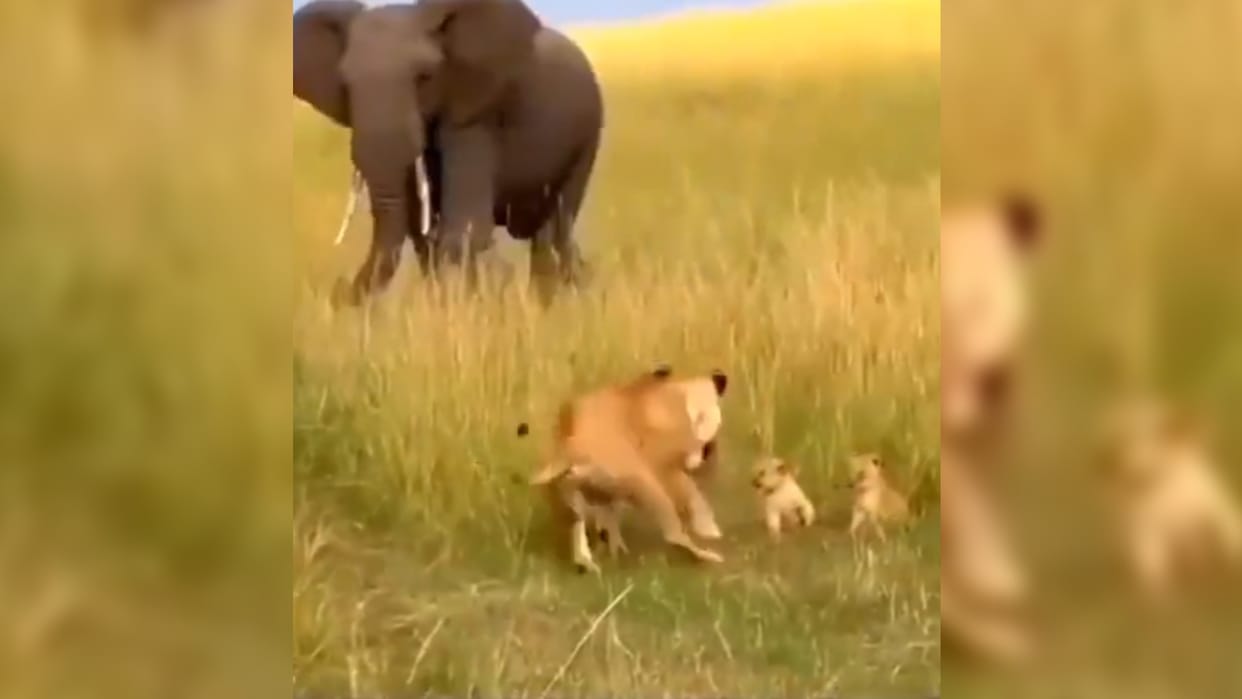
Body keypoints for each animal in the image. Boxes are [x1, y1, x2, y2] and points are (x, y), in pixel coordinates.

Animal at [293, 0, 603, 306]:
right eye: (345, 84)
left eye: (424, 77)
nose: (338, 290)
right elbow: (420, 229)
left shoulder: (476, 114)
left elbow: (464, 226)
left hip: (589, 134)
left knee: (556, 227)